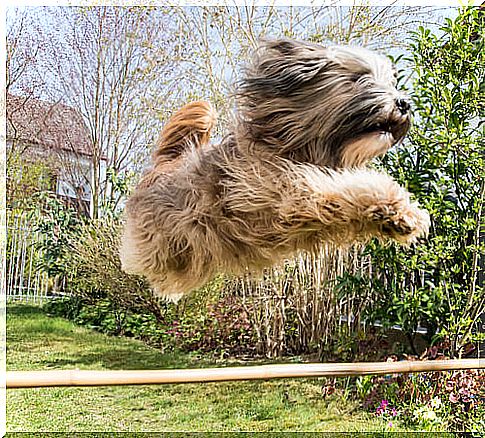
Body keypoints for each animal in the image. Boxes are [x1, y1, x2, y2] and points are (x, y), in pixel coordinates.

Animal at [119, 37, 430, 300]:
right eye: (359, 78)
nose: (404, 103)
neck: (292, 146)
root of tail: (162, 168)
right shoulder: (290, 192)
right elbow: (346, 188)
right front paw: (400, 209)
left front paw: (399, 216)